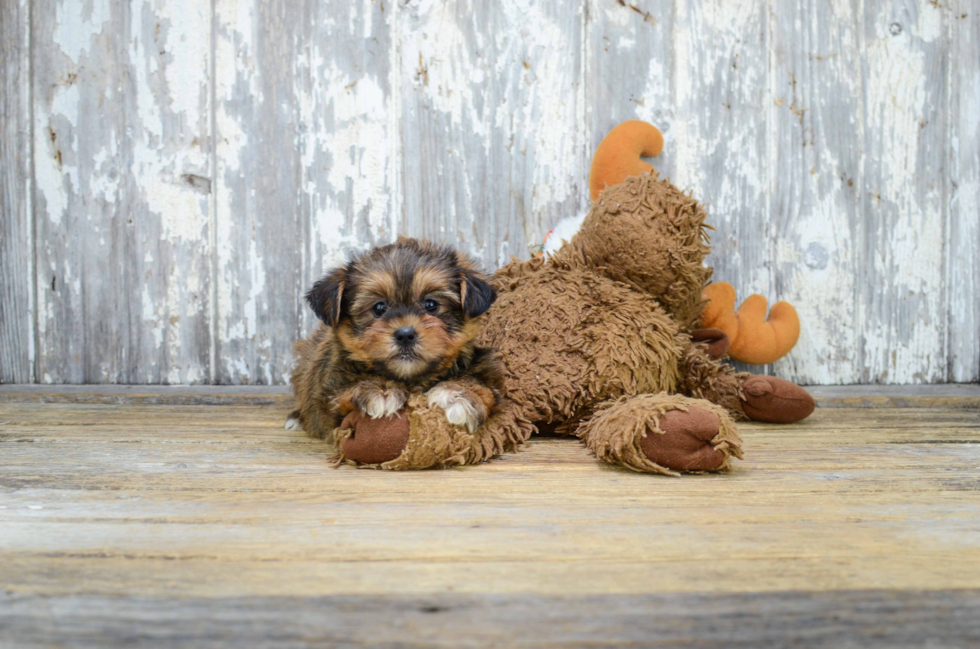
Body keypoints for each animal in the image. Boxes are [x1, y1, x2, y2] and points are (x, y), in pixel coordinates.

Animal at [282, 237, 498, 446]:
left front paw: (459, 395)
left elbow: (480, 384)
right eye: (379, 308)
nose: (405, 335)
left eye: (431, 305)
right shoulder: (328, 395)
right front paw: (380, 390)